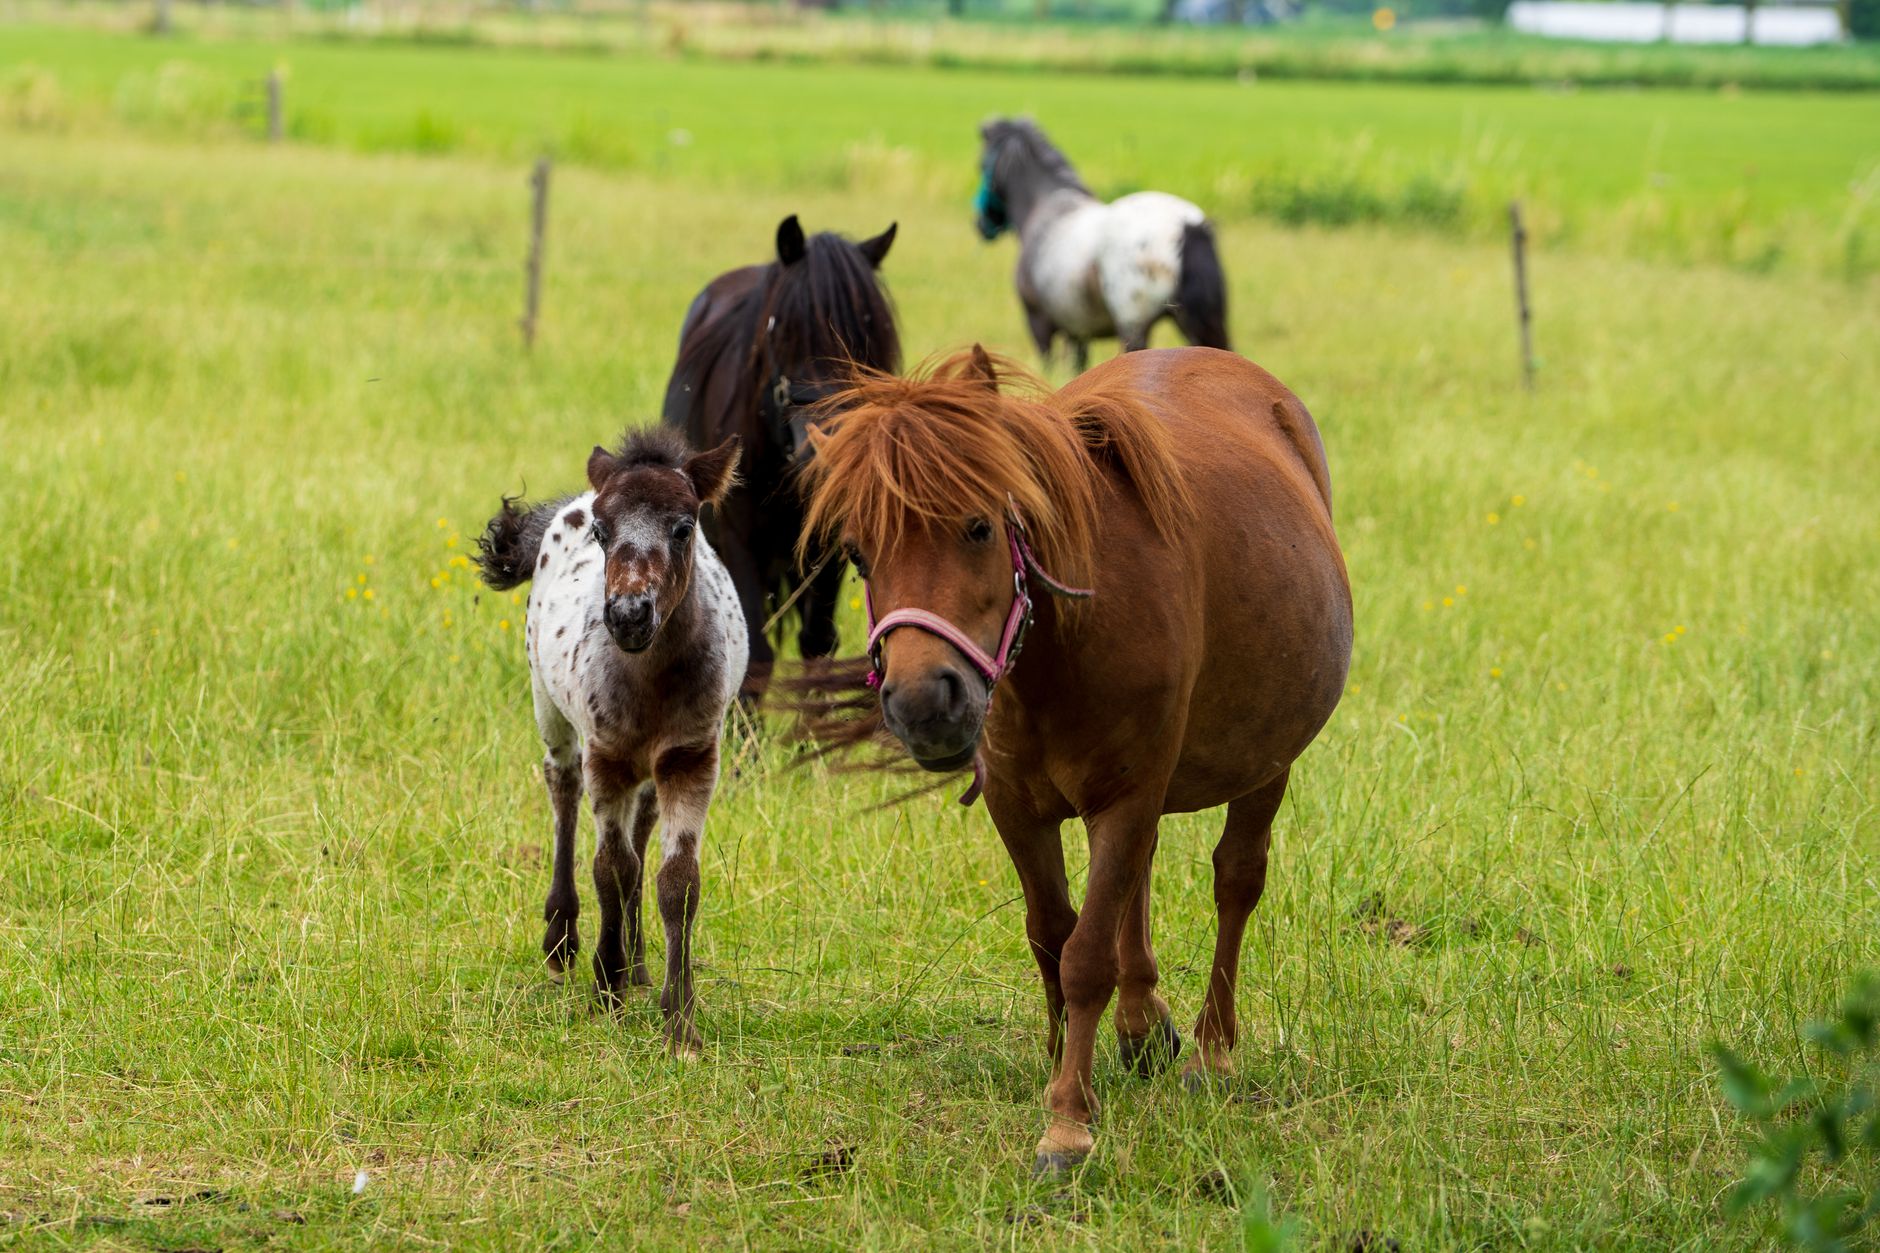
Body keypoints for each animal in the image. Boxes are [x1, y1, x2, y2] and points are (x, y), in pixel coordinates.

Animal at [476, 429, 747, 1059]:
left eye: (684, 526)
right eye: (602, 531)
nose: (627, 615)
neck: (652, 680)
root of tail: (571, 499)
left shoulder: (692, 758)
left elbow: (677, 882)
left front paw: (680, 1022)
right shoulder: (607, 755)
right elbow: (611, 867)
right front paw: (606, 986)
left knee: (643, 827)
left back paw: (642, 959)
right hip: (546, 700)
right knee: (563, 785)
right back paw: (564, 939)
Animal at [662, 213, 900, 704]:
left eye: (868, 337)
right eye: (786, 329)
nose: (825, 451)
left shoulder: (830, 545)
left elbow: (818, 643)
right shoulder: (738, 542)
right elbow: (753, 652)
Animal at [793, 346, 1351, 1173]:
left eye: (979, 526)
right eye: (859, 553)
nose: (923, 702)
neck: (1062, 648)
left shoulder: (1126, 793)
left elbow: (1086, 954)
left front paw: (1068, 1123)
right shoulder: (1018, 806)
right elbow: (1051, 936)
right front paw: (1063, 1064)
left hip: (1264, 762)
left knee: (1236, 881)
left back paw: (1212, 1050)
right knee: (1141, 877)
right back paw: (1142, 1024)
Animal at [974, 117, 1232, 373]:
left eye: (981, 166)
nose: (980, 224)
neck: (1046, 206)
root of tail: (1187, 227)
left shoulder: (1039, 324)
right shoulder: (1078, 331)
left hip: (1133, 329)